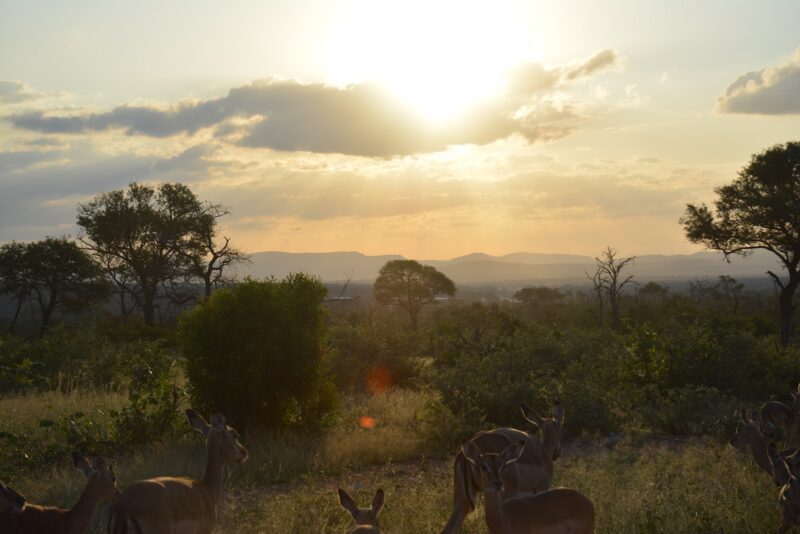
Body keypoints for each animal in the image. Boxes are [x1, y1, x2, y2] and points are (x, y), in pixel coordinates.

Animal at [440, 404, 564, 532]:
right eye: (560, 428)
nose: (557, 453)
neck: (543, 452)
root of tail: (463, 454)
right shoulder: (542, 488)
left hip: (461, 500)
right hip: (506, 492)